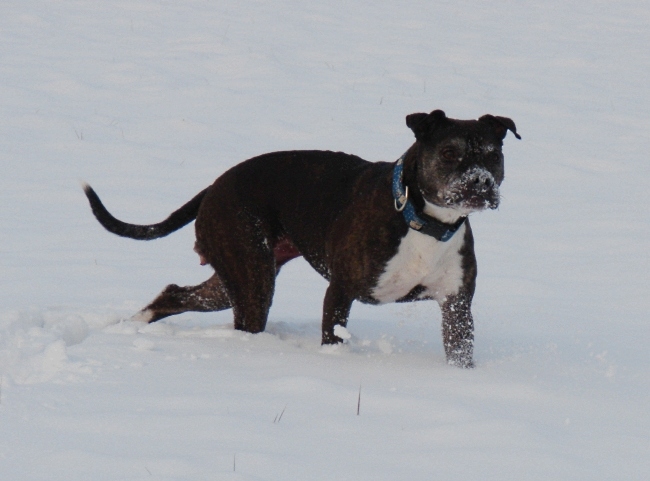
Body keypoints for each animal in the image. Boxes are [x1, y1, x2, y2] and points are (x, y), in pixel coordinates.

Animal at [82, 109, 516, 368]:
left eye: (493, 155)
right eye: (449, 153)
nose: (481, 183)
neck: (422, 219)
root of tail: (214, 186)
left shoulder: (457, 306)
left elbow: (460, 350)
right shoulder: (341, 290)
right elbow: (333, 336)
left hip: (232, 278)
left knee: (176, 293)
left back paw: (133, 325)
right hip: (251, 276)